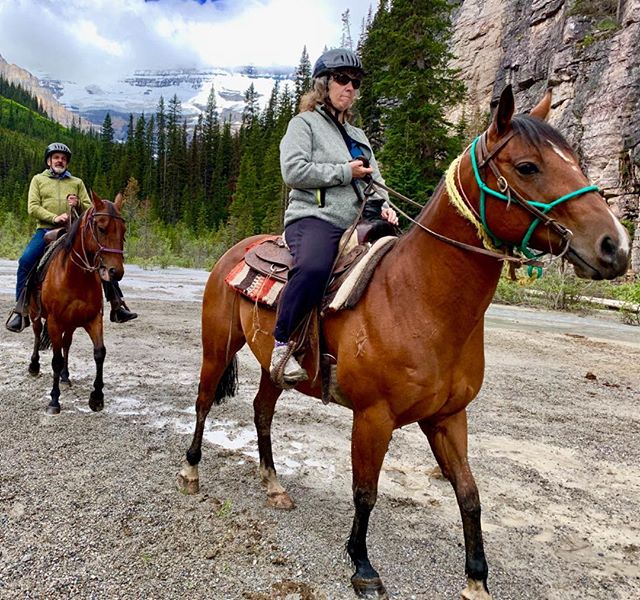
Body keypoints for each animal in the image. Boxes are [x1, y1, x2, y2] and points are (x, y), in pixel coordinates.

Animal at [28, 193, 127, 418]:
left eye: (124, 231)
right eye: (101, 228)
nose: (115, 271)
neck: (75, 275)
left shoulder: (93, 319)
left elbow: (100, 353)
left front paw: (97, 398)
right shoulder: (54, 322)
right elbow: (55, 359)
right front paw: (54, 401)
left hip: (71, 323)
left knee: (67, 343)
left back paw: (65, 376)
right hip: (35, 314)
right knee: (37, 335)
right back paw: (34, 366)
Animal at [178, 88, 628, 600]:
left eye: (576, 160)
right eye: (528, 166)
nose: (615, 246)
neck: (419, 299)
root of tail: (235, 251)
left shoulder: (448, 417)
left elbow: (469, 494)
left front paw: (476, 578)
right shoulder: (374, 417)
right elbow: (365, 491)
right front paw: (362, 565)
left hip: (274, 368)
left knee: (261, 410)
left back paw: (273, 485)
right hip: (217, 348)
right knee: (203, 400)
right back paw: (191, 472)